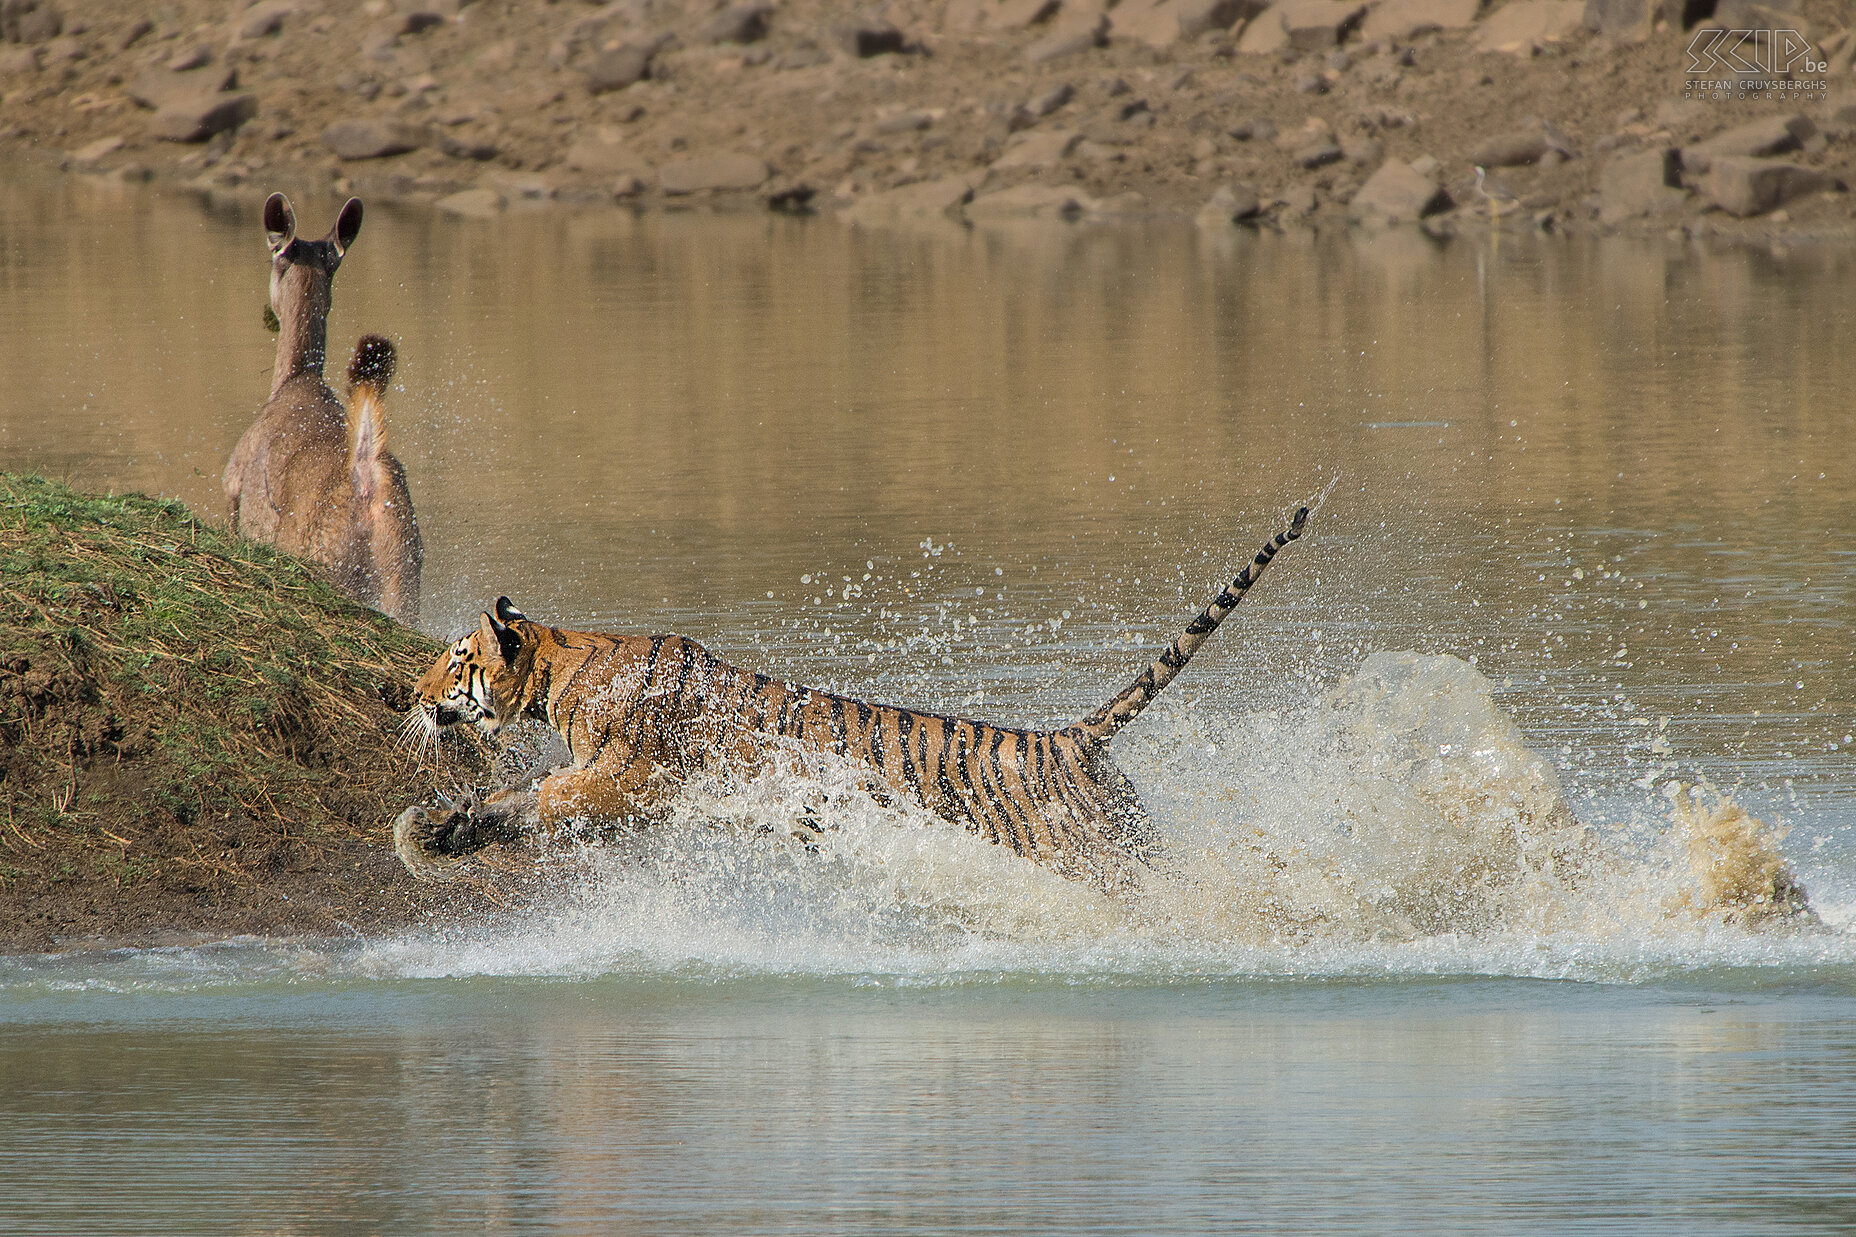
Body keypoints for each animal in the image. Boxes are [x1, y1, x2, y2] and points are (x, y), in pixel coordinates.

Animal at [399, 505, 1314, 891]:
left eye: (455, 657)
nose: (410, 689)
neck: (562, 669)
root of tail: (1071, 736)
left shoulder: (626, 778)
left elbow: (544, 795)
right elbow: (514, 799)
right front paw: (434, 831)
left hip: (1099, 857)